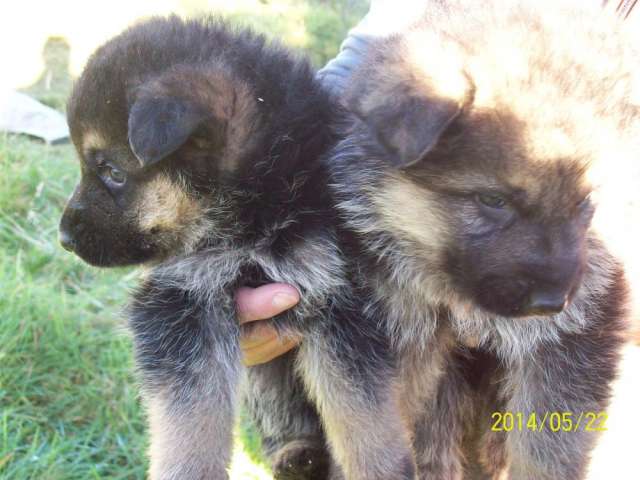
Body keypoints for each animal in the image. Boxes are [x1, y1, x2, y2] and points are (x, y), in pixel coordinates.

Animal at [60, 15, 418, 480]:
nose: (64, 238)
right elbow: (192, 418)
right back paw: (296, 454)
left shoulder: (341, 297)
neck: (253, 214)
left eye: (112, 172)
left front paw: (382, 469)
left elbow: (363, 412)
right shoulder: (183, 298)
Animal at [328, 1, 636, 478]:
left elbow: (548, 448)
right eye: (494, 200)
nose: (552, 303)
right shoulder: (401, 329)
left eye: (588, 200)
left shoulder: (580, 330)